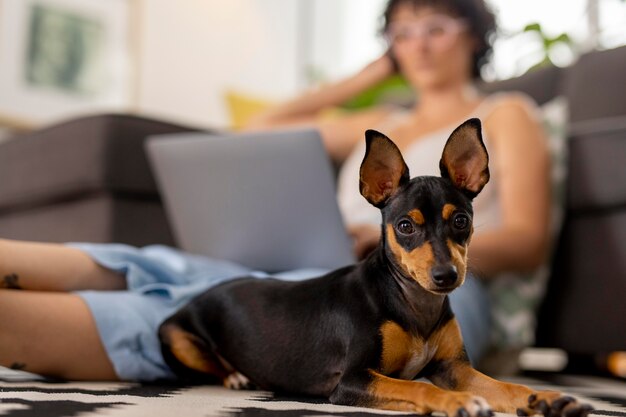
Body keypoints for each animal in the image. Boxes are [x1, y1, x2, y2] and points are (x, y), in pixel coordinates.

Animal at [157, 118, 588, 416]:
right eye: (405, 226)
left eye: (461, 221)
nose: (445, 276)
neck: (413, 304)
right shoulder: (351, 381)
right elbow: (421, 388)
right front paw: (459, 403)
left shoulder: (455, 368)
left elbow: (507, 386)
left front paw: (544, 397)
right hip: (175, 337)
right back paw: (234, 374)